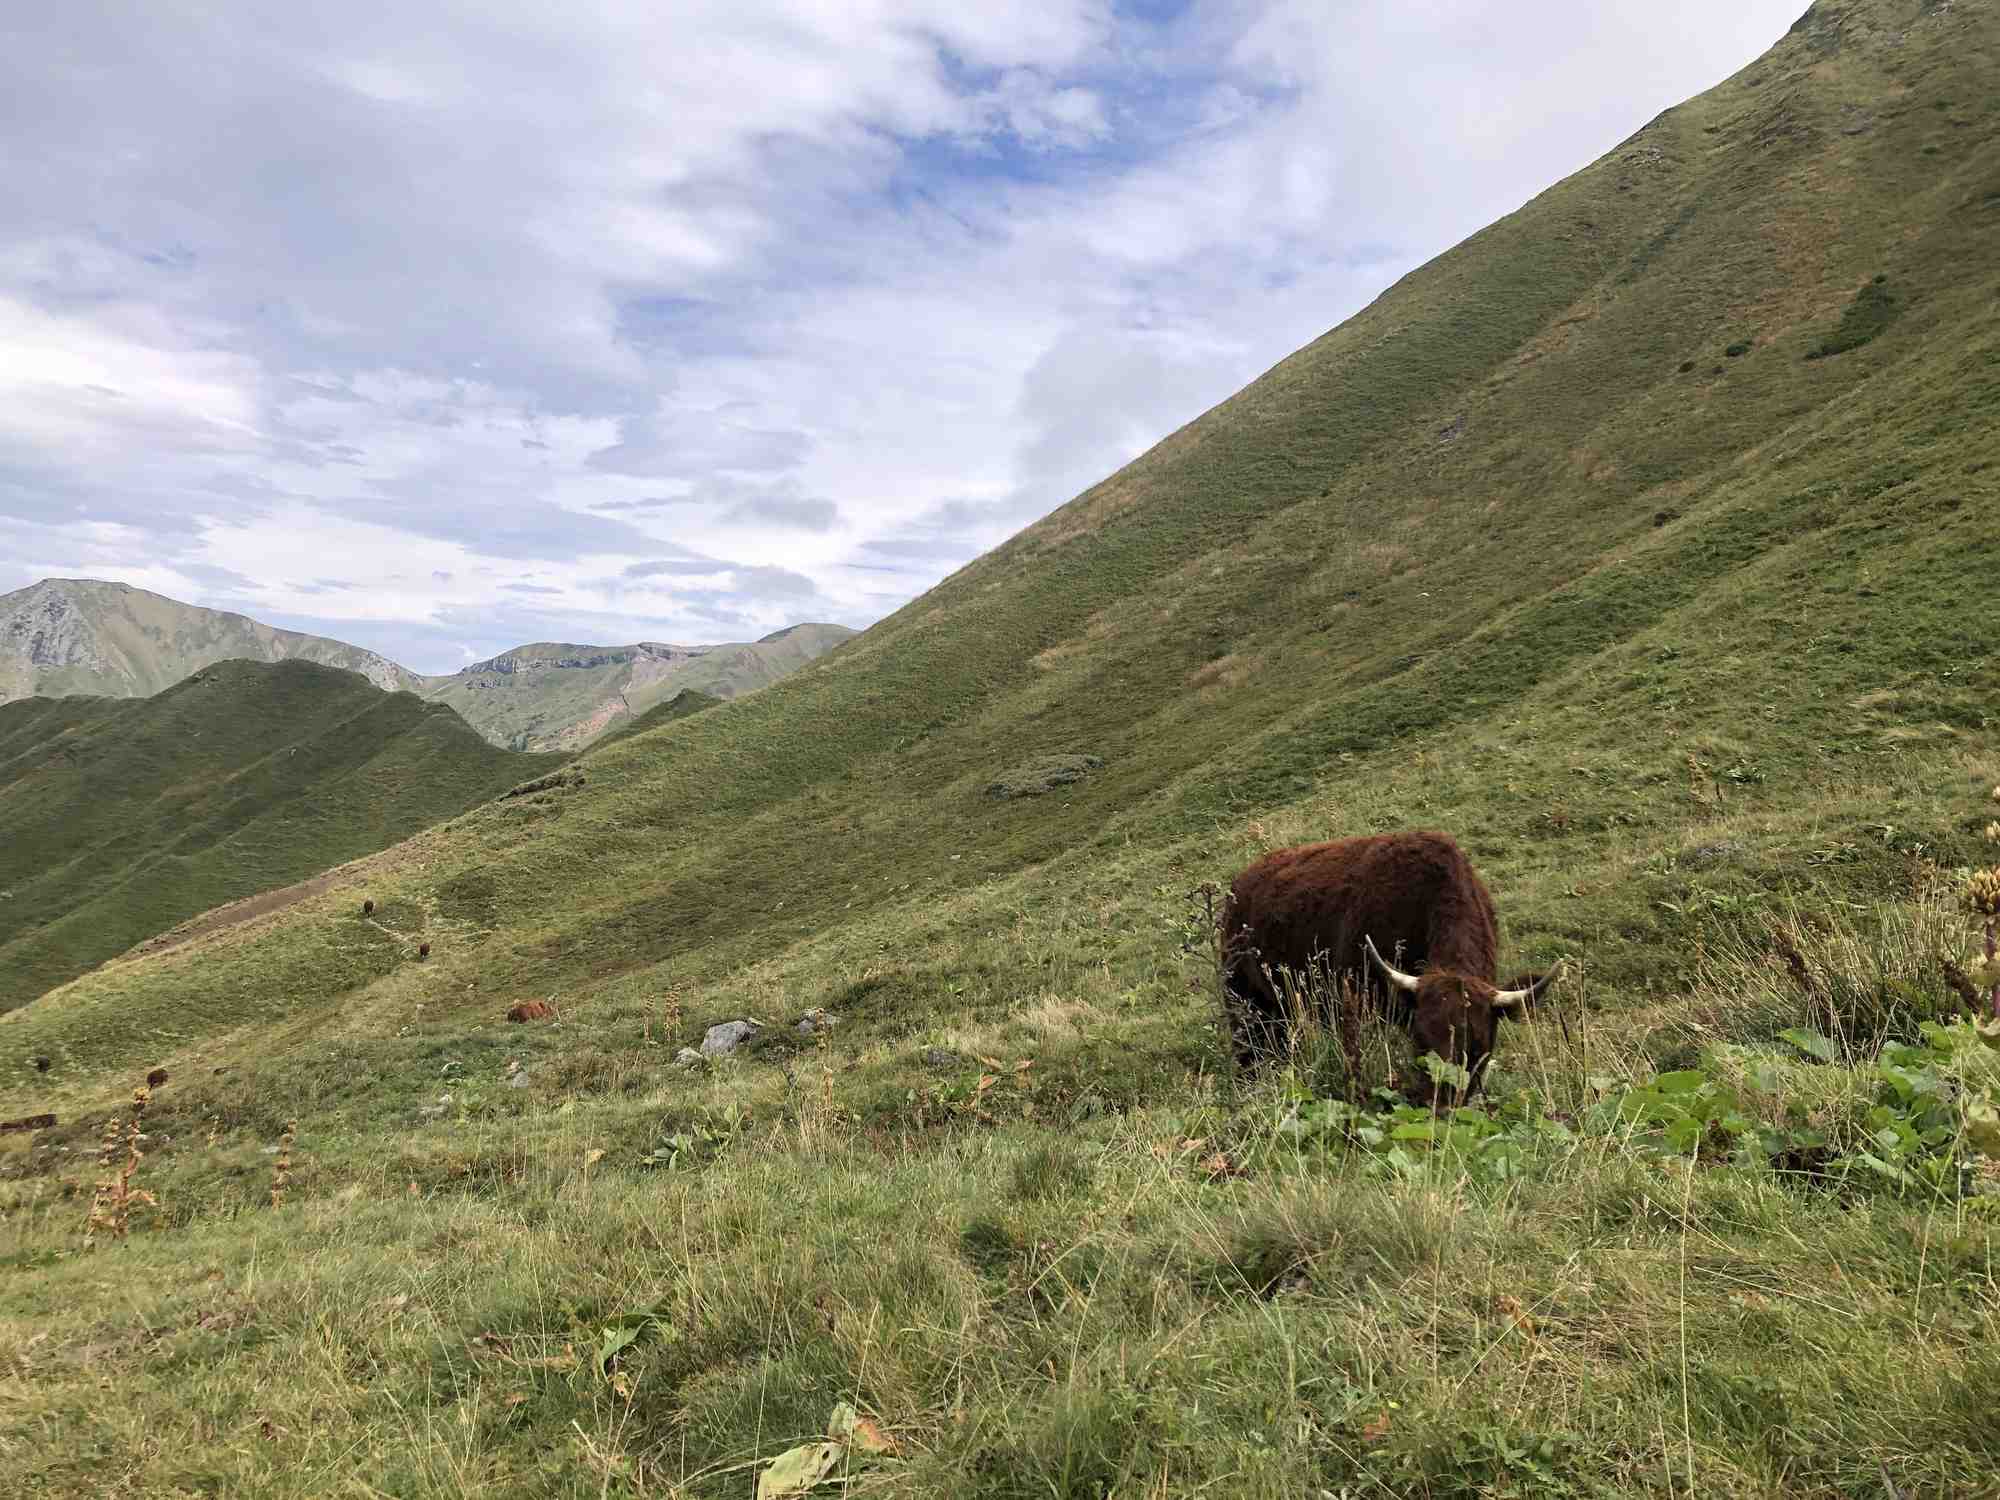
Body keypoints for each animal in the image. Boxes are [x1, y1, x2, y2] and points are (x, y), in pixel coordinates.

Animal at [1219, 830, 1560, 1099]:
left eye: (1476, 1048)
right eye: (1421, 1041)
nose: (1439, 1106)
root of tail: (1241, 883)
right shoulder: (1351, 1006)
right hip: (1241, 1000)